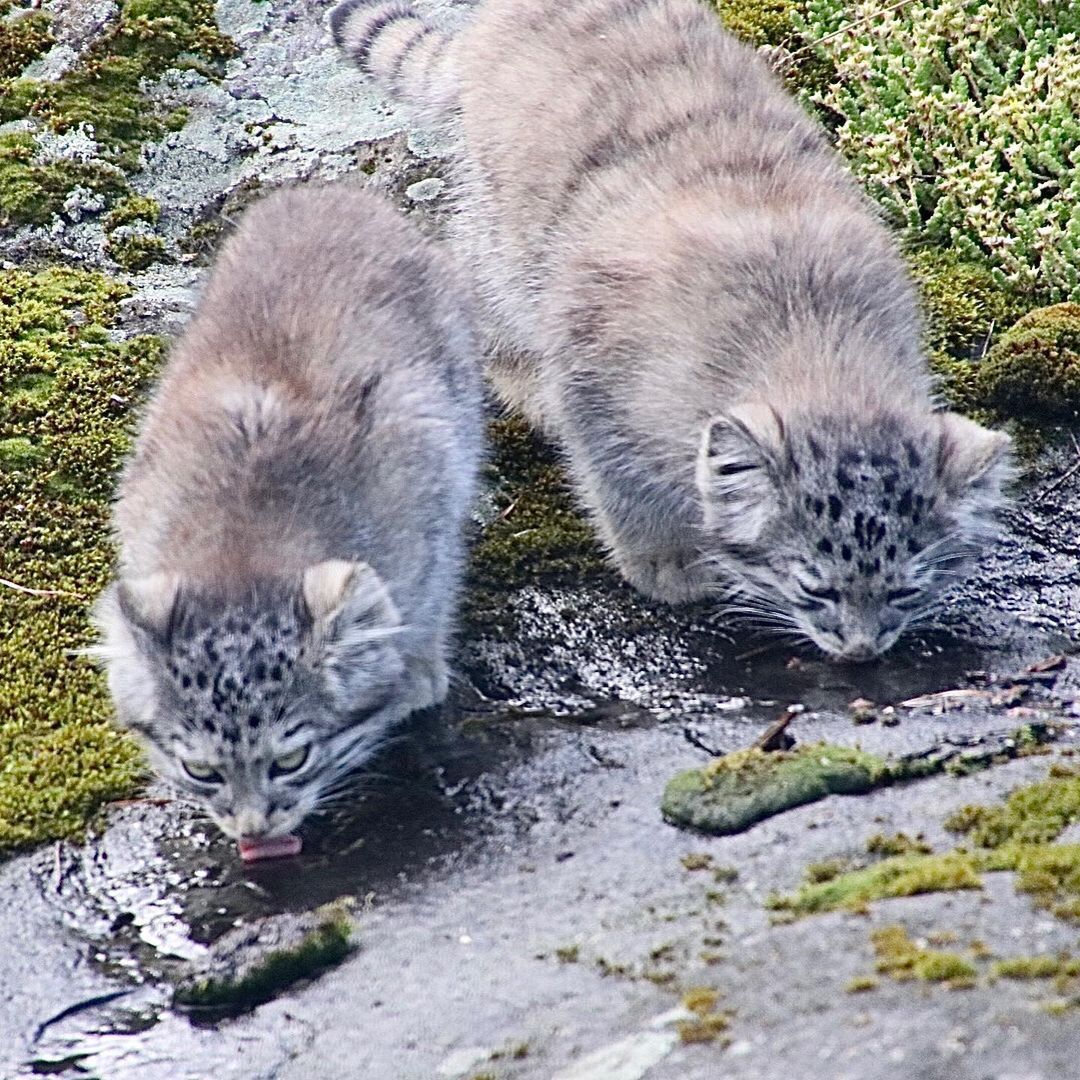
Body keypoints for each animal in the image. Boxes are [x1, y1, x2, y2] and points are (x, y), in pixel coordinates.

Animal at [92, 185, 481, 859]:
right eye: (202, 771)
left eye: (291, 760)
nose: (253, 828)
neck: (241, 553)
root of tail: (326, 192)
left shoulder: (433, 509)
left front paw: (418, 676)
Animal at [330, 0, 1010, 656]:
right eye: (815, 588)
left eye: (905, 591)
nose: (862, 652)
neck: (814, 330)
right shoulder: (595, 378)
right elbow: (621, 487)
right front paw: (666, 564)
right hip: (505, 246)